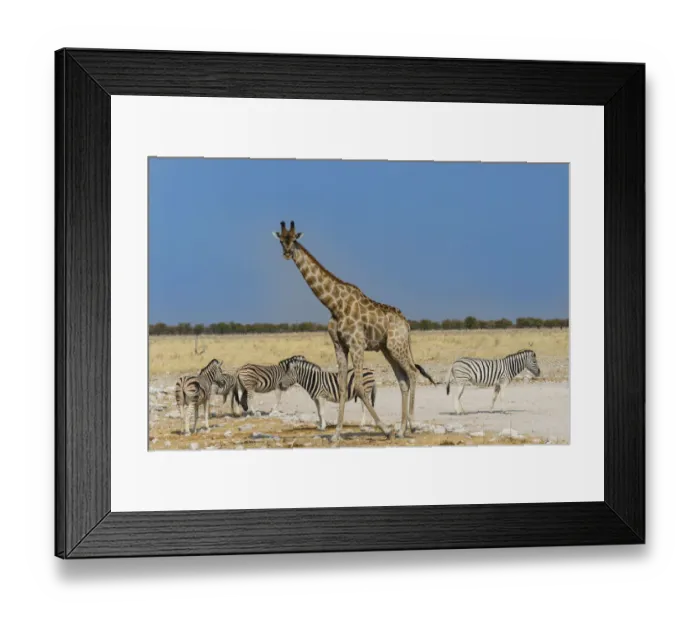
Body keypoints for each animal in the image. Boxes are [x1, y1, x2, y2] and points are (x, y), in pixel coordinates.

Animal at [273, 221, 437, 441]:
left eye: (294, 239)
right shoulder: (339, 345)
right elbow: (342, 386)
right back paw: (402, 429)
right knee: (402, 380)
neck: (334, 305)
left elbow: (358, 386)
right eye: (282, 240)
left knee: (412, 372)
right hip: (387, 349)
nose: (287, 253)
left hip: (397, 345)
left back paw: (411, 426)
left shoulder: (357, 344)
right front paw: (336, 434)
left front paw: (386, 429)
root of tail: (407, 324)